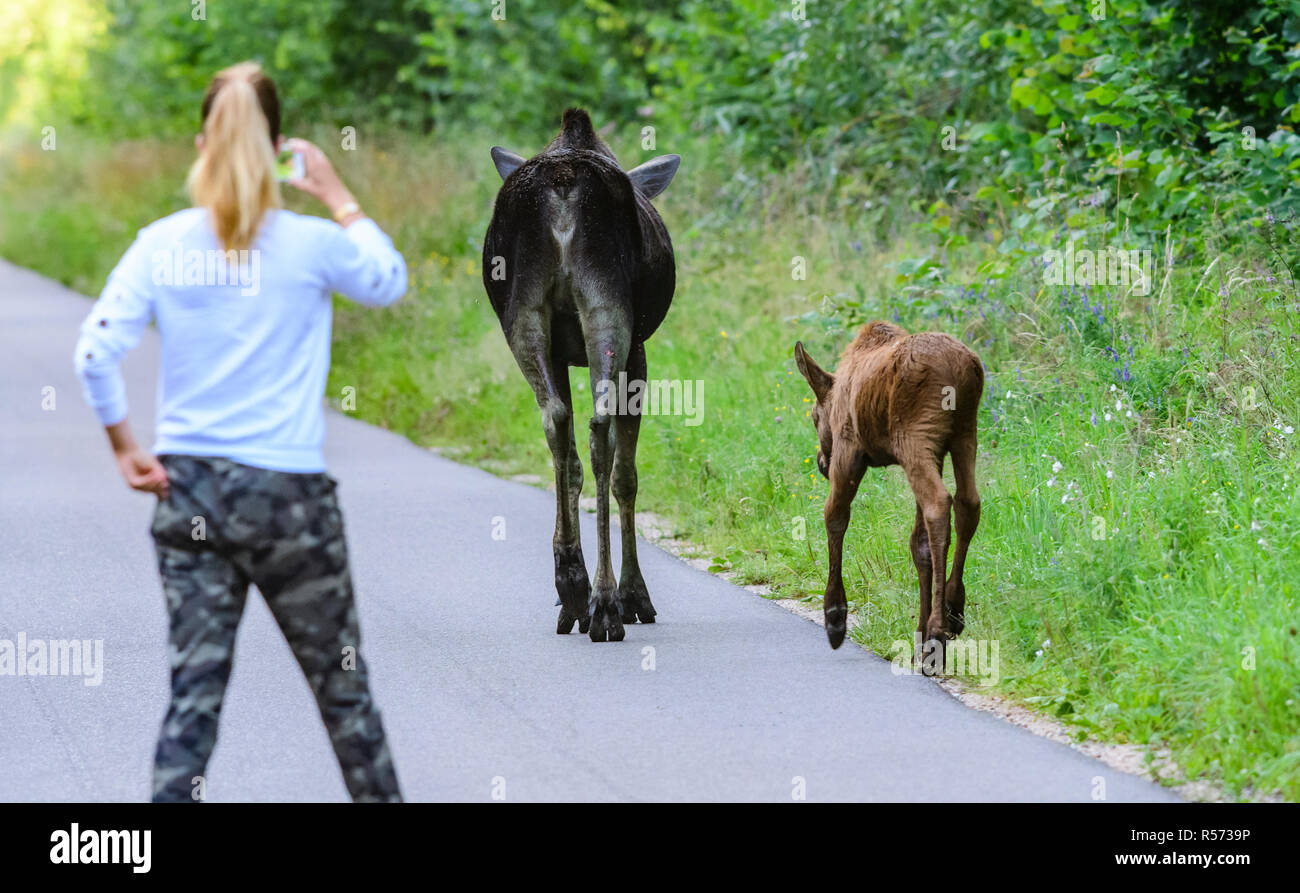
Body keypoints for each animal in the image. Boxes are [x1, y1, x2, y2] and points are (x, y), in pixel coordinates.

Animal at [790, 324, 982, 660]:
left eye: (814, 417)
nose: (822, 462)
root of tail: (963, 369)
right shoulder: (938, 454)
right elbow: (919, 546)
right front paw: (918, 636)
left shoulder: (849, 450)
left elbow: (834, 517)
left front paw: (835, 616)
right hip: (963, 433)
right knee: (967, 504)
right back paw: (953, 608)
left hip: (914, 438)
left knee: (938, 504)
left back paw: (937, 632)